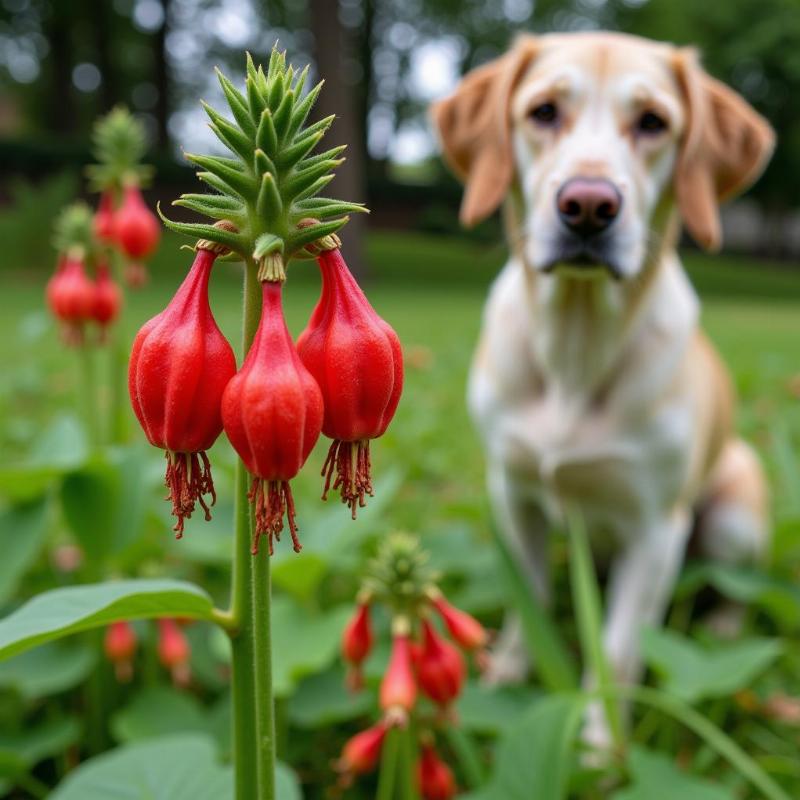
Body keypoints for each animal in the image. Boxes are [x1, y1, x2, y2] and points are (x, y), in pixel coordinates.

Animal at [434, 32, 772, 752]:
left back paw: (724, 627)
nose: (588, 205)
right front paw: (506, 676)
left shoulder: (656, 528)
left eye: (653, 122)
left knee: (736, 584)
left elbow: (615, 648)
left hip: (734, 510)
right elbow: (528, 599)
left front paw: (597, 743)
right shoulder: (513, 494)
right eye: (542, 111)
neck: (576, 349)